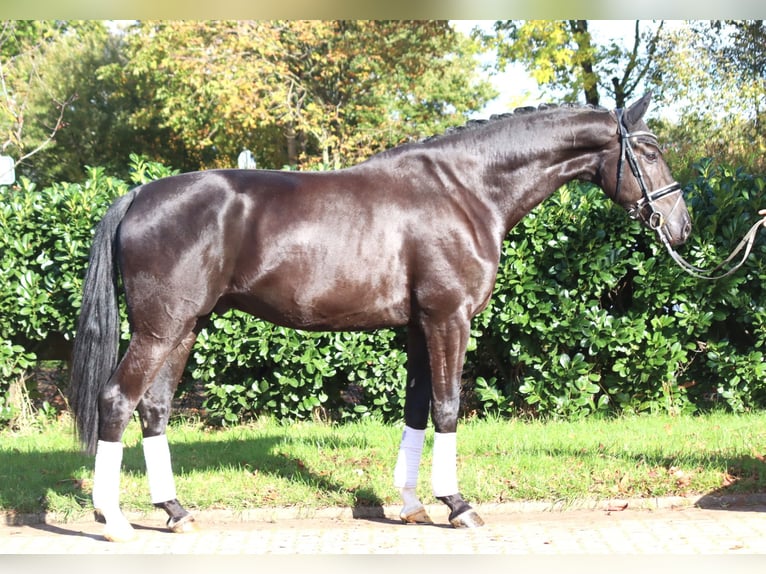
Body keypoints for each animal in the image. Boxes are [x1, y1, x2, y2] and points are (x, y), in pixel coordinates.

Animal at [68, 92, 691, 542]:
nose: (681, 227)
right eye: (650, 149)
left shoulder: (418, 326)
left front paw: (414, 505)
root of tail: (139, 194)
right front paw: (458, 505)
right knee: (117, 401)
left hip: (186, 327)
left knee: (154, 408)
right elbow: (447, 406)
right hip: (160, 329)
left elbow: (417, 409)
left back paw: (175, 510)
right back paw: (115, 521)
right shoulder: (448, 318)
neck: (465, 189)